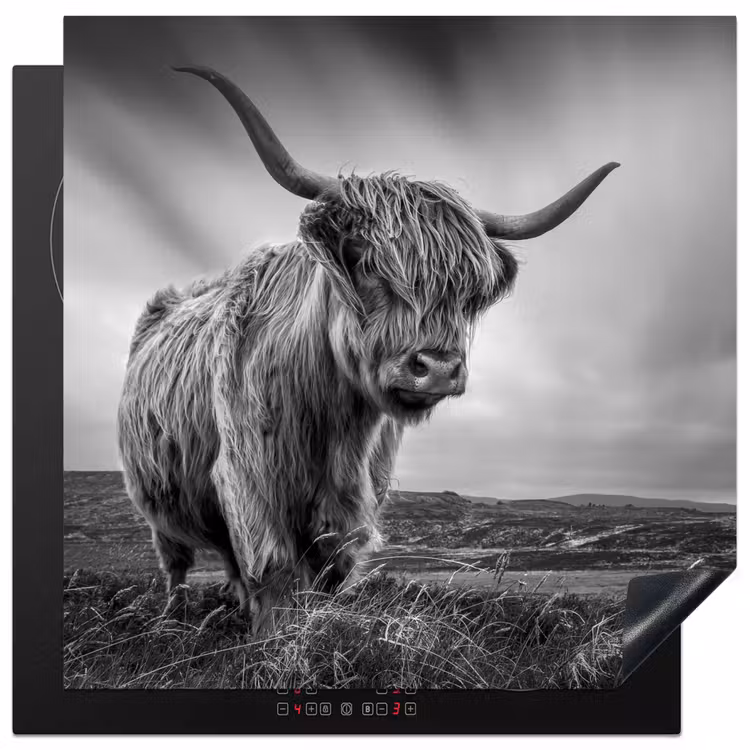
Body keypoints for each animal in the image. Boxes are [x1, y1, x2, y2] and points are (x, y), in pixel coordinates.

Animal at [117, 66, 618, 631]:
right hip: (156, 501)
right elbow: (274, 572)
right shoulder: (249, 479)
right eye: (361, 256)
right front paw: (270, 640)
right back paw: (173, 614)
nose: (437, 368)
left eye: (468, 289)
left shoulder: (356, 500)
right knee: (176, 561)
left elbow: (328, 572)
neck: (334, 422)